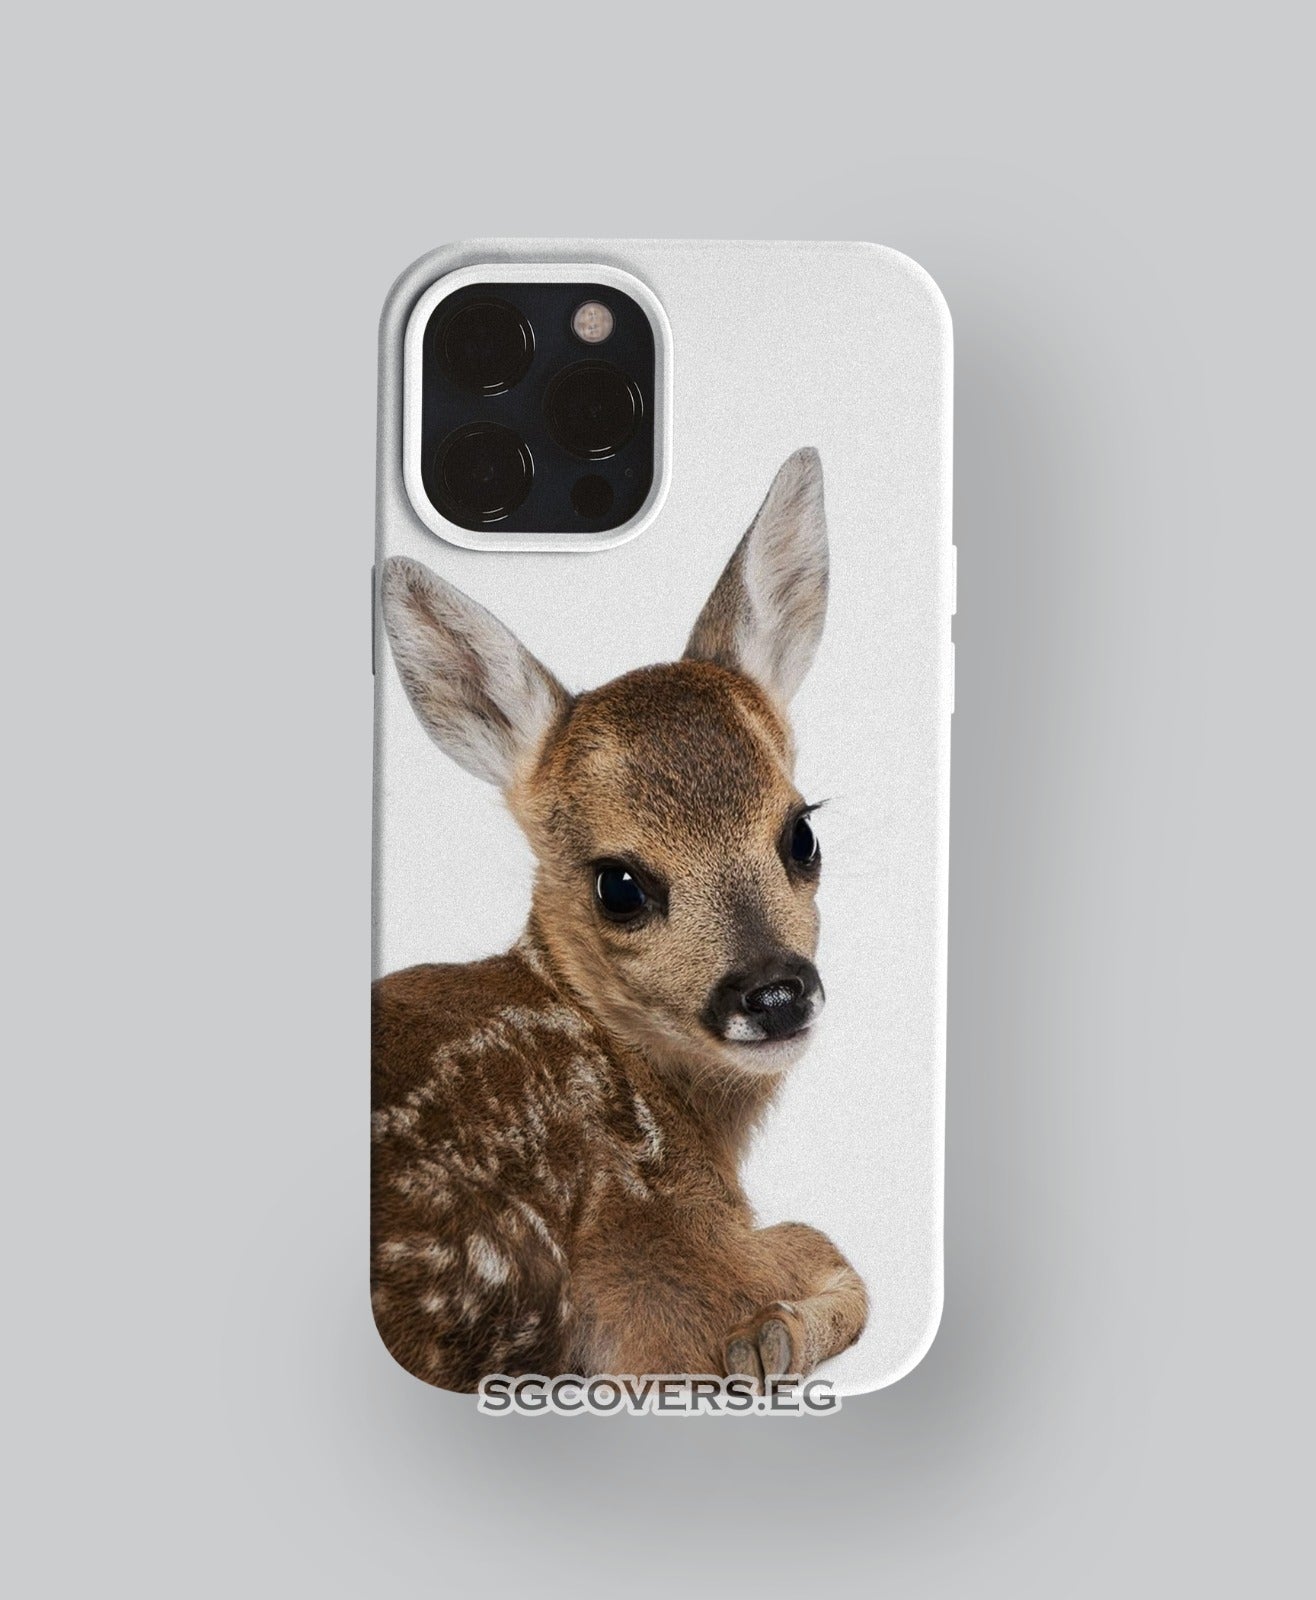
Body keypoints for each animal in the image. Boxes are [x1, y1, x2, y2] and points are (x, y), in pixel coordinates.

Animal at [372, 448, 868, 1392]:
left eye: (802, 832)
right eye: (620, 886)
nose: (774, 993)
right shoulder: (654, 1273)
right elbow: (828, 1259)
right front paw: (769, 1340)